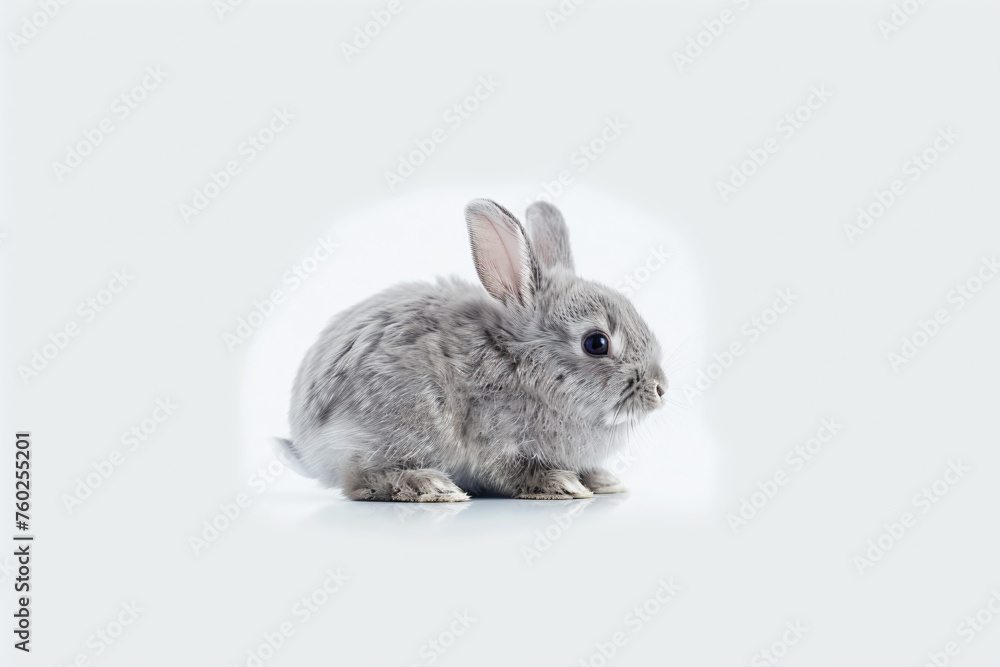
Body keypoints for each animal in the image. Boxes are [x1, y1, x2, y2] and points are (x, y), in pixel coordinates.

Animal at [279, 198, 666, 501]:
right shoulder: (497, 441)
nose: (659, 389)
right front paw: (562, 484)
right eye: (596, 343)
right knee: (359, 481)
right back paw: (431, 486)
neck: (521, 364)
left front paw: (602, 480)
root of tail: (309, 446)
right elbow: (514, 471)